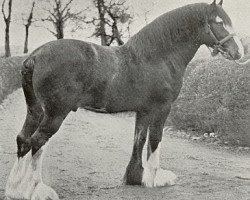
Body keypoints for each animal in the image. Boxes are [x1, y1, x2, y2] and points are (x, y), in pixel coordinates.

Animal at [5, 0, 244, 199]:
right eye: (219, 22)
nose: (239, 52)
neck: (157, 56)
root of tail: (35, 56)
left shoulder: (144, 111)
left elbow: (139, 139)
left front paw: (135, 178)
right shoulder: (162, 108)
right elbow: (155, 140)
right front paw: (155, 179)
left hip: (36, 110)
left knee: (23, 139)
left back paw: (15, 189)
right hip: (55, 113)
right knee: (37, 142)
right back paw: (36, 190)